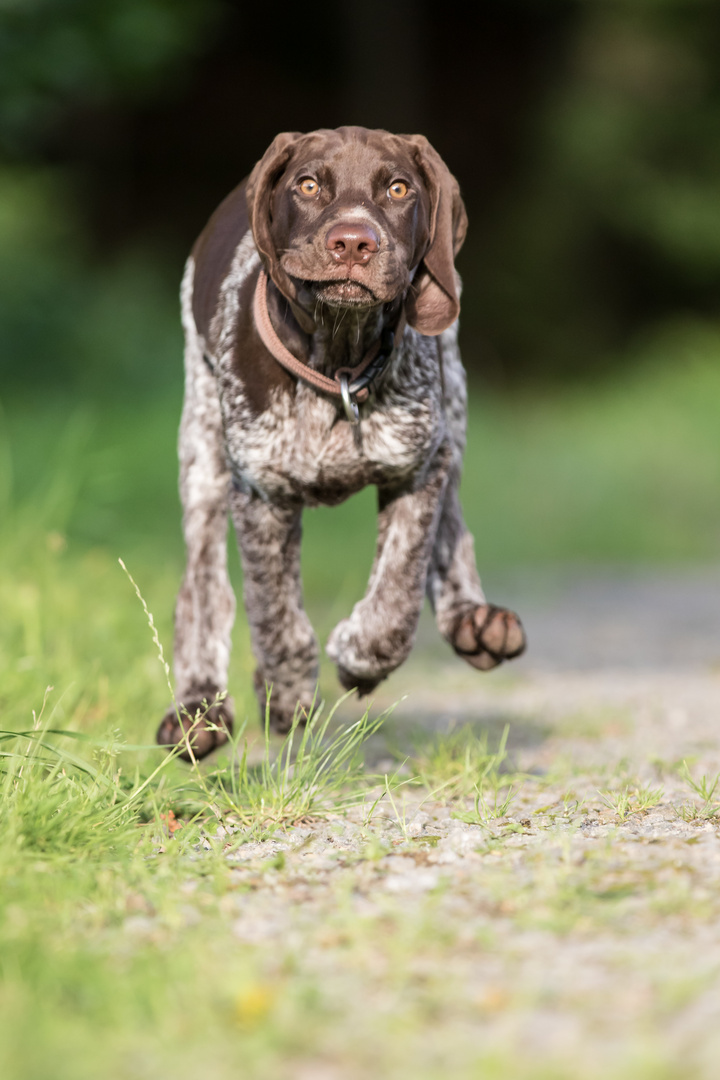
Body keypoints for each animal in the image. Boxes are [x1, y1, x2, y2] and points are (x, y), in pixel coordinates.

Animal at [156, 126, 524, 760]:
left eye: (398, 188)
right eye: (308, 185)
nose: (353, 241)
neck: (339, 363)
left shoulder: (418, 467)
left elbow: (397, 599)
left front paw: (359, 657)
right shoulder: (260, 490)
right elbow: (273, 612)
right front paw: (286, 694)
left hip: (453, 409)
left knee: (454, 527)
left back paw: (473, 619)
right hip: (201, 451)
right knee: (203, 587)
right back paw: (197, 708)